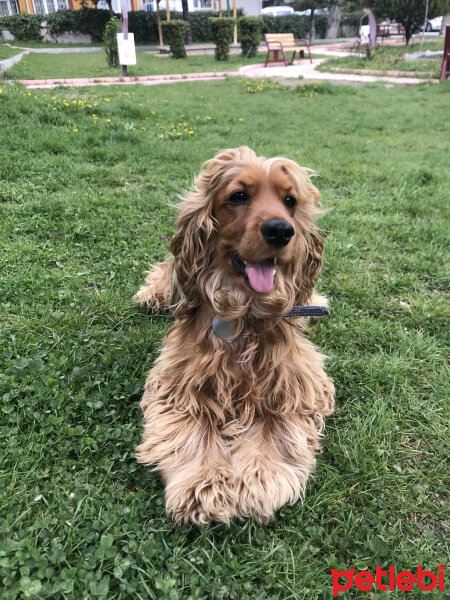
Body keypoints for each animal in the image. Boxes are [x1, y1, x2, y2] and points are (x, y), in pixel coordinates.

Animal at [134, 146, 334, 524]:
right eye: (238, 196)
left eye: (290, 200)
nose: (281, 231)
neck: (243, 313)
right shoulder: (181, 381)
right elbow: (191, 427)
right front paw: (203, 483)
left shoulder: (294, 381)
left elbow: (277, 426)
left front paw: (258, 478)